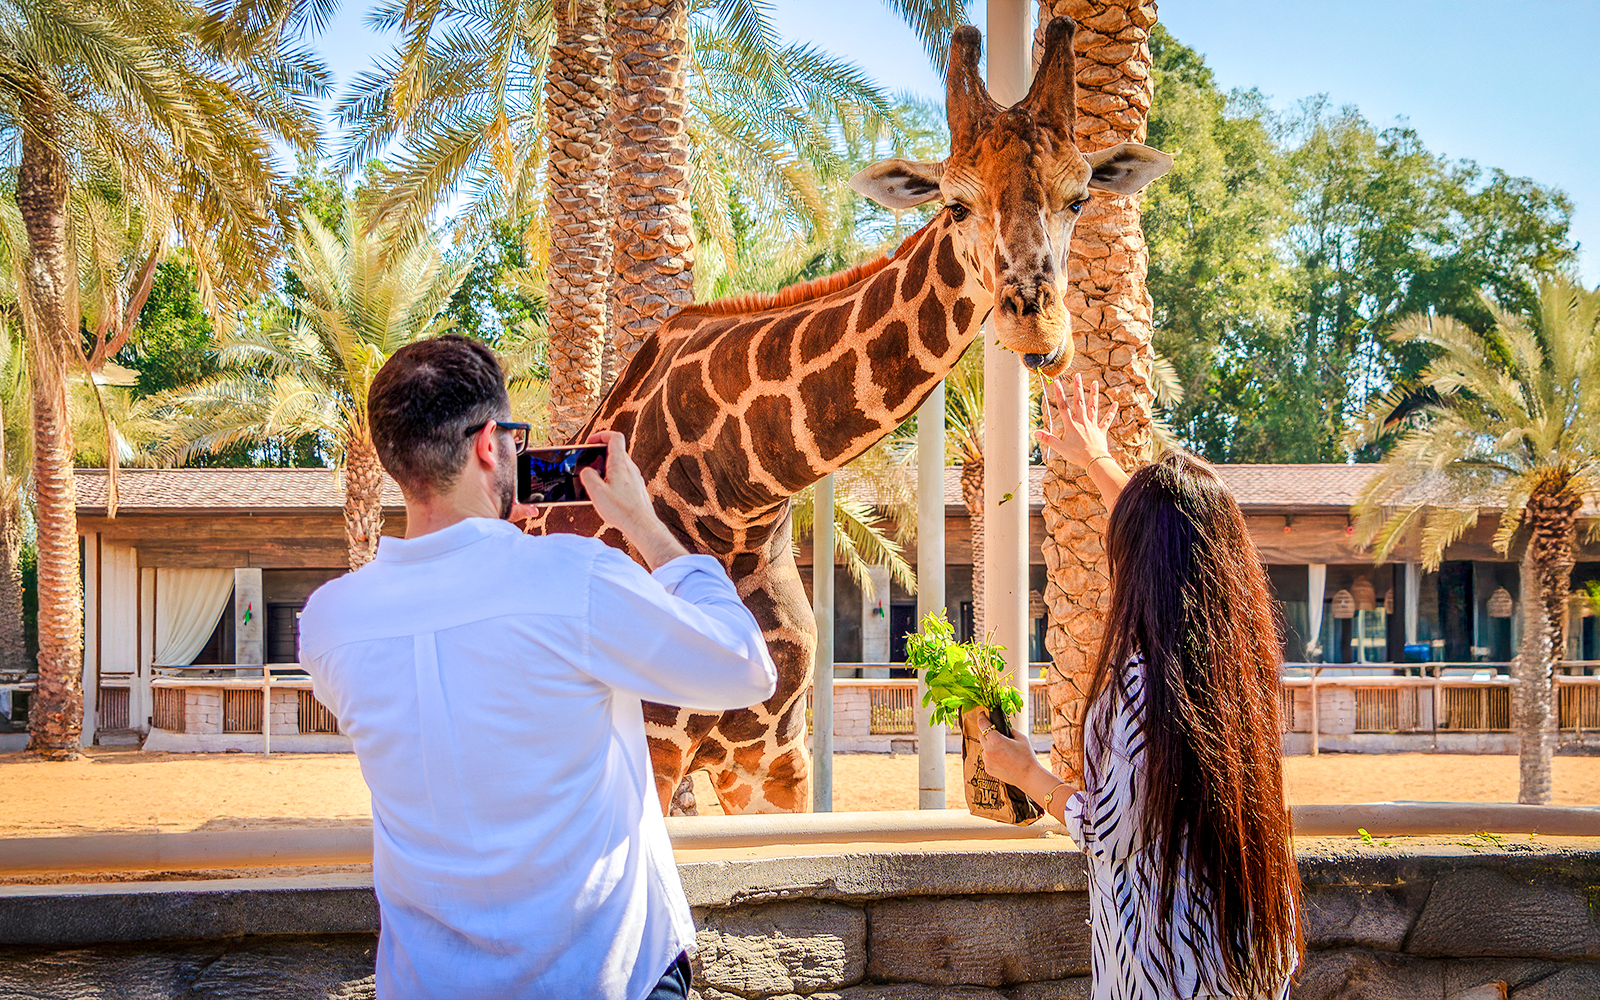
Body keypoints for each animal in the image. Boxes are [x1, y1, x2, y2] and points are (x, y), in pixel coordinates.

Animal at [527, 17, 1171, 813]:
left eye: (1079, 198)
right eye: (956, 204)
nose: (1038, 327)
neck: (733, 497)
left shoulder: (772, 754)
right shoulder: (652, 742)